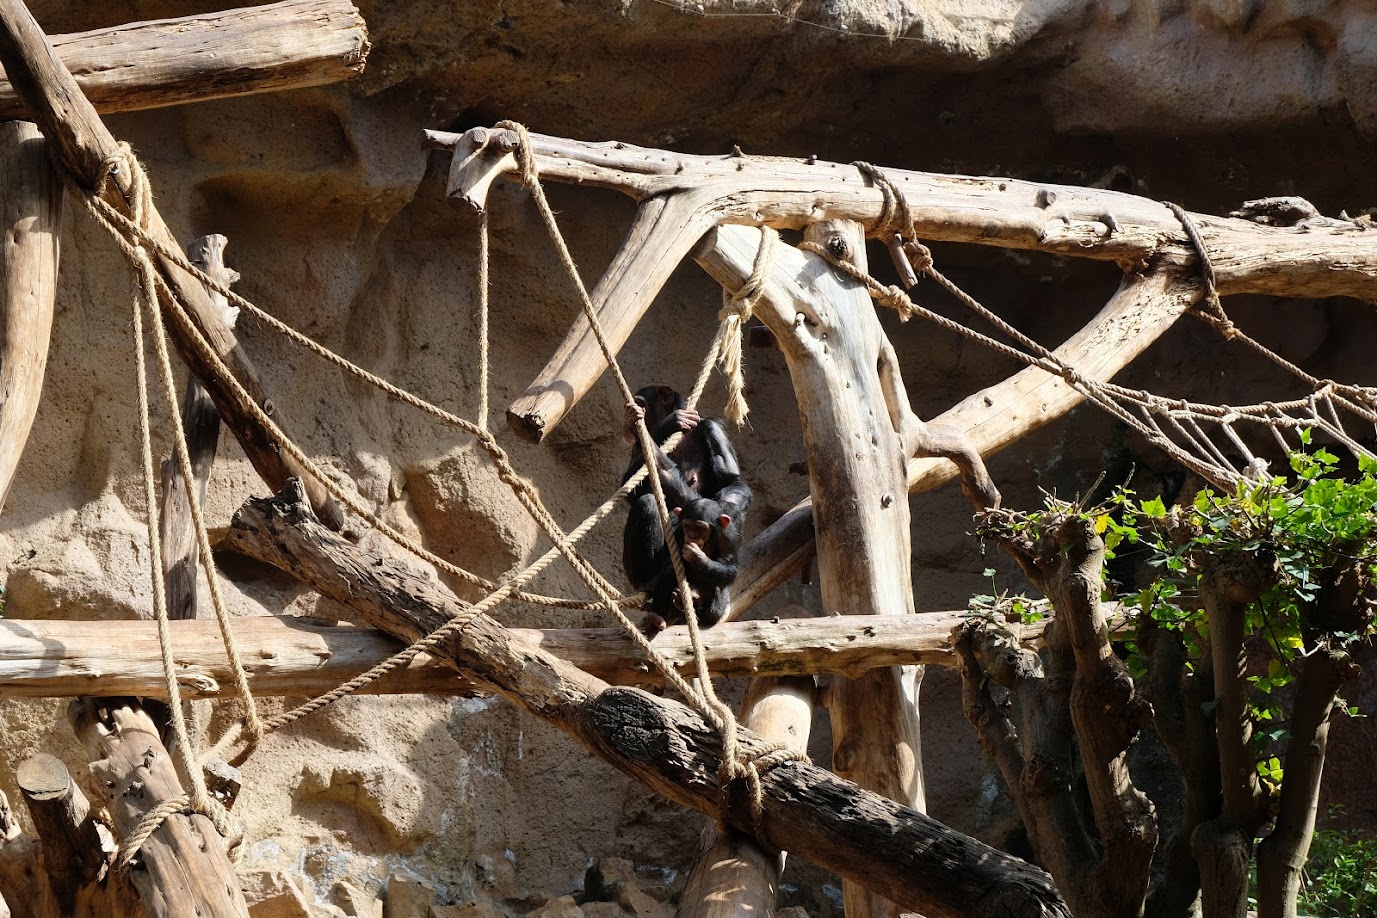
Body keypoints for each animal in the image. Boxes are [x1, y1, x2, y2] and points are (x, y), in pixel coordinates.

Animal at [622, 382, 754, 633]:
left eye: (642, 403)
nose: (628, 416)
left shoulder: (712, 428)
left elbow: (731, 482)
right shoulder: (636, 449)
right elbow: (631, 488)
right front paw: (671, 422)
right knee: (648, 503)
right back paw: (654, 586)